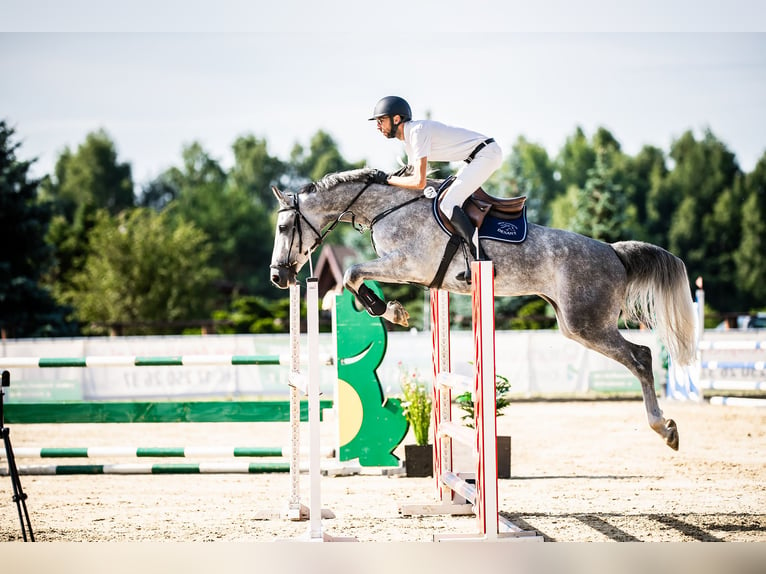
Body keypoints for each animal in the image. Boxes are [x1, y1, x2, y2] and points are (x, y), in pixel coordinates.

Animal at [272, 166, 700, 450]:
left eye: (282, 228)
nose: (278, 276)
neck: (387, 207)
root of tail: (613, 251)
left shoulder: (408, 265)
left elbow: (351, 273)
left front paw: (391, 311)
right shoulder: (409, 272)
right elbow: (355, 276)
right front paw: (391, 309)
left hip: (588, 324)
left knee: (642, 357)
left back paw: (665, 429)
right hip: (572, 323)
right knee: (639, 356)